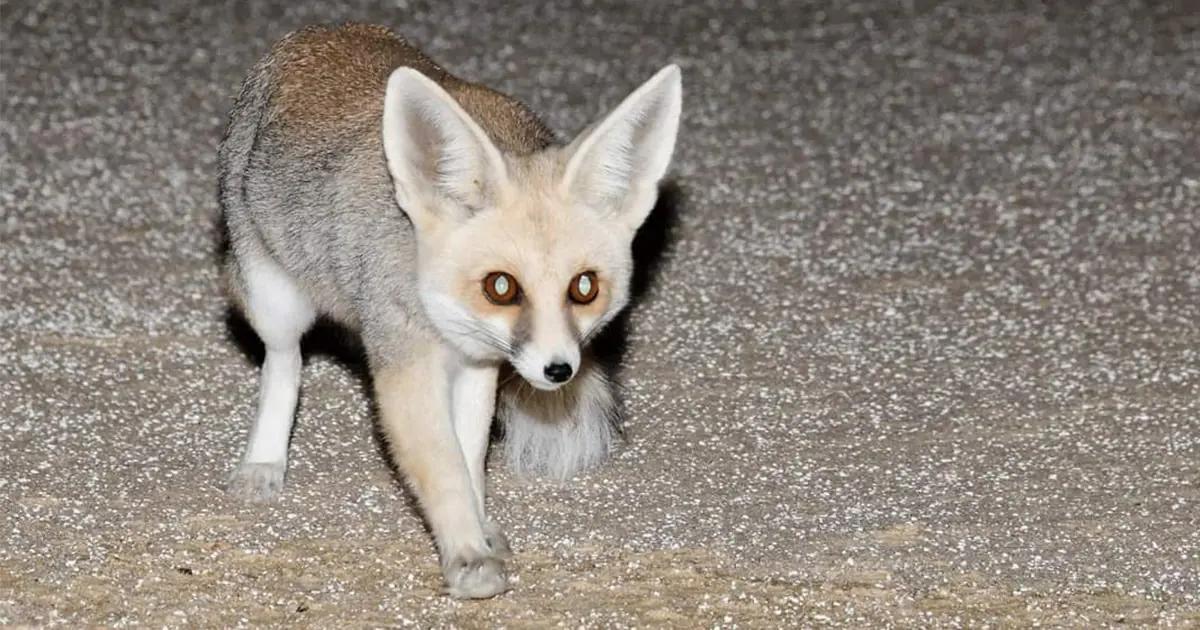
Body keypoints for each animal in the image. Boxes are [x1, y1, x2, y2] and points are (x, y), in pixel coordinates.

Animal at [214, 22, 682, 599]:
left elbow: (472, 459)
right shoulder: (405, 365)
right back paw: (264, 458)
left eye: (584, 287)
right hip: (275, 300)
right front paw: (466, 553)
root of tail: (320, 31)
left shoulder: (479, 364)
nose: (558, 370)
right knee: (284, 364)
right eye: (501, 287)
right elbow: (444, 469)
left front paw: (479, 529)